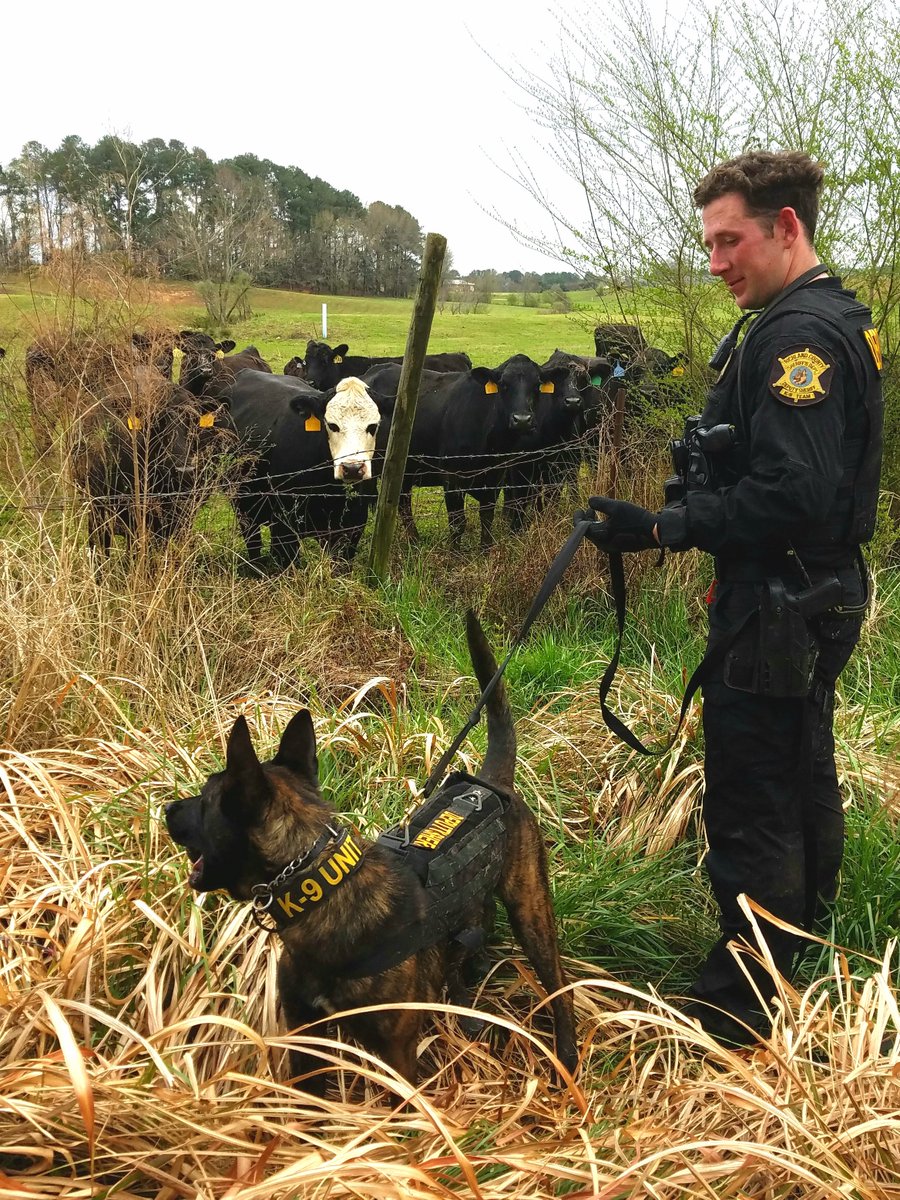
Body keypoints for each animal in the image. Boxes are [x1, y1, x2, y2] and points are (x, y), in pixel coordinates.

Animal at [168, 614, 578, 1094]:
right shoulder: (304, 1038)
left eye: (204, 799)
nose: (166, 809)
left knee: (559, 986)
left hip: (531, 912)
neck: (320, 888)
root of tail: (490, 782)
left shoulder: (396, 1056)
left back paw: (567, 1056)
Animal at [226, 372, 381, 568]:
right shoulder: (283, 528)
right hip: (243, 504)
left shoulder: (352, 528)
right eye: (332, 425)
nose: (352, 468)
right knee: (253, 542)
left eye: (373, 426)